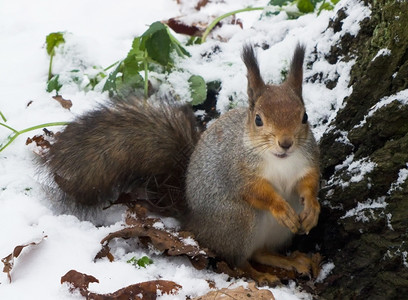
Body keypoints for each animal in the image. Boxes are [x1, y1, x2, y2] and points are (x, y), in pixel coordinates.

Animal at [43, 43, 318, 284]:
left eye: (304, 116)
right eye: (258, 120)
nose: (286, 143)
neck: (280, 161)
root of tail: (194, 222)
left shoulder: (308, 159)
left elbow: (310, 181)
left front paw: (313, 207)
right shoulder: (237, 168)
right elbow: (255, 191)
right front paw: (280, 207)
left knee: (260, 252)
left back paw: (291, 260)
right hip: (238, 220)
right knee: (238, 258)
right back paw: (259, 274)